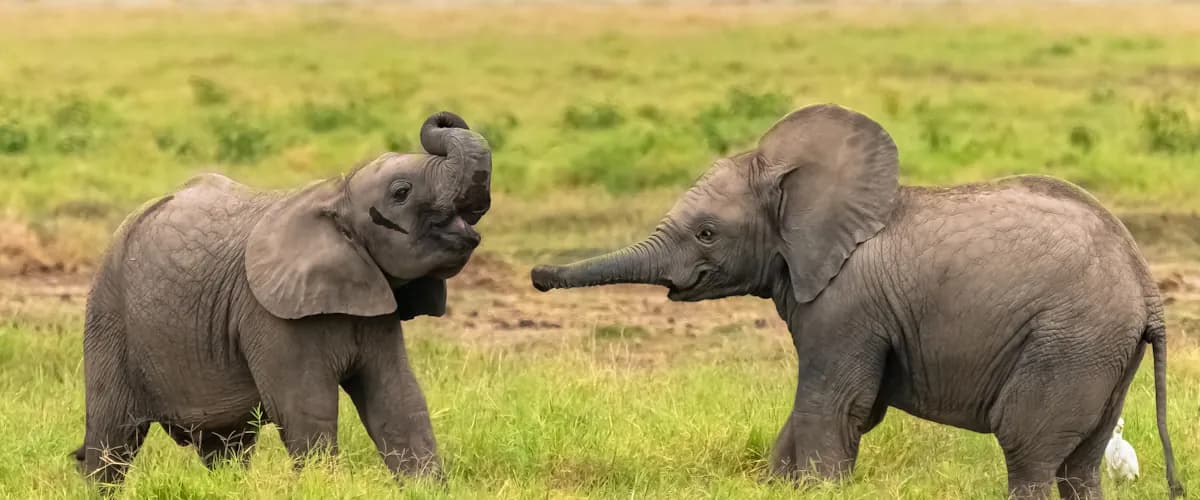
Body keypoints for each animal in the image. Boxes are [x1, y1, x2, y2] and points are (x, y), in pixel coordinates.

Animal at [74, 111, 491, 486]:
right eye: (401, 193)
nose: (442, 118)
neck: (336, 192)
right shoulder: (268, 315)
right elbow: (305, 408)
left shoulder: (374, 308)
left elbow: (399, 400)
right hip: (108, 315)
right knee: (112, 438)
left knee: (226, 443)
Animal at [531, 104, 1184, 499]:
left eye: (707, 233)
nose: (538, 273)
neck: (798, 187)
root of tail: (1146, 289)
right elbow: (818, 414)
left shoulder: (845, 304)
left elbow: (836, 406)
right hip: (1101, 351)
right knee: (1081, 463)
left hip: (1068, 341)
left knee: (1027, 449)